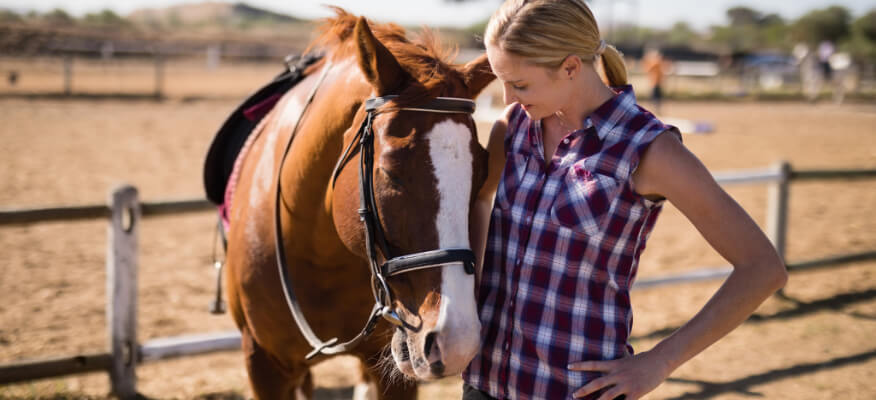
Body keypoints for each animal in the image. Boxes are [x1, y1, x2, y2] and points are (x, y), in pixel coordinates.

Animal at [221, 9, 495, 399]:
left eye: (483, 171)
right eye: (390, 172)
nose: (457, 342)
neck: (319, 253)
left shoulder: (393, 373)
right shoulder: (263, 365)